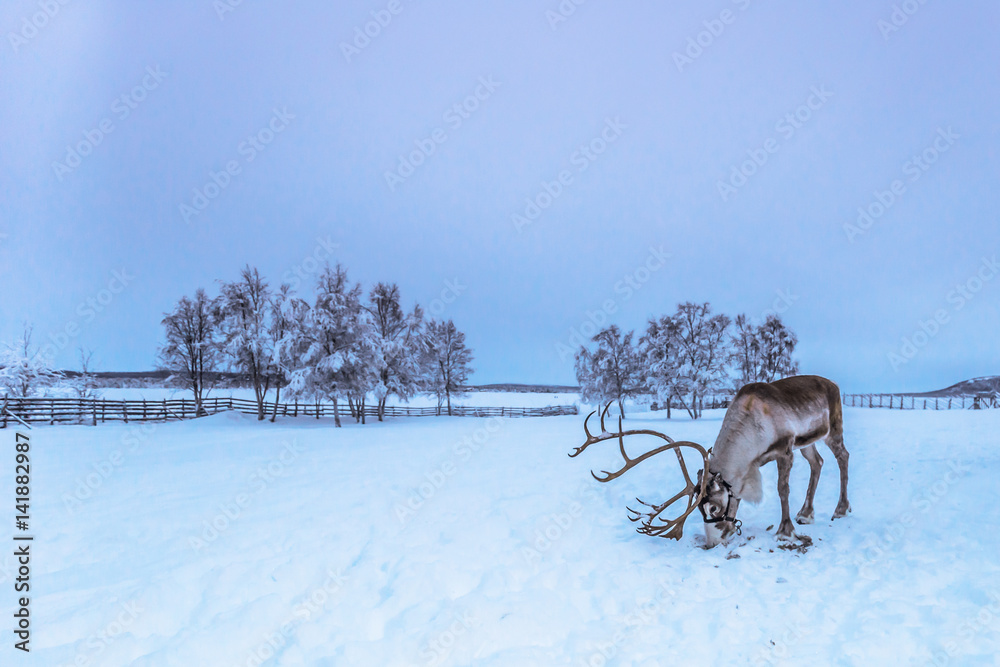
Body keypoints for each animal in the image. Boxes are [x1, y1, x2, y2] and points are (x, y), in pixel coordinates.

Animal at [569, 375, 850, 548]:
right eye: (699, 510)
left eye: (713, 508)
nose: (712, 543)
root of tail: (834, 384)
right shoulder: (753, 465)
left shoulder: (785, 450)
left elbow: (783, 490)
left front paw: (785, 530)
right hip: (809, 441)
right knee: (817, 462)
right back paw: (806, 513)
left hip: (833, 428)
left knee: (842, 457)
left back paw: (840, 509)